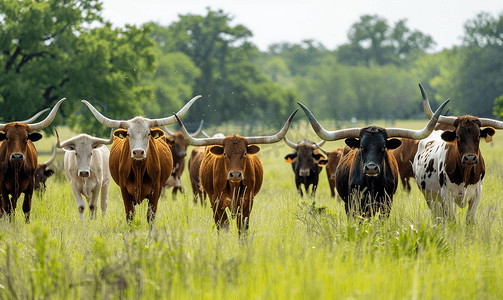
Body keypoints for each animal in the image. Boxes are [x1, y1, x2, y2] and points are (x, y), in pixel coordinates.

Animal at [82, 96, 201, 225]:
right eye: (128, 134)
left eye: (148, 133)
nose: (138, 152)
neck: (138, 169)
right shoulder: (124, 190)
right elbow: (130, 216)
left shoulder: (156, 190)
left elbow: (151, 216)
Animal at [414, 83, 503, 224]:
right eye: (457, 136)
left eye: (478, 136)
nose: (470, 158)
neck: (465, 174)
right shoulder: (447, 195)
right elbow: (452, 221)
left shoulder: (477, 194)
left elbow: (470, 220)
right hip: (431, 198)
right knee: (438, 217)